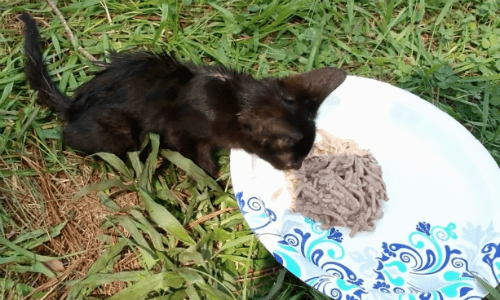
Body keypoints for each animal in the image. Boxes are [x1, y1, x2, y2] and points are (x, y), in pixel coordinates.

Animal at [20, 14, 348, 177]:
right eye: (293, 160)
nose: (299, 169)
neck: (233, 102)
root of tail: (74, 105)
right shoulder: (180, 132)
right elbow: (198, 157)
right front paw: (214, 179)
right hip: (119, 130)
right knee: (70, 135)